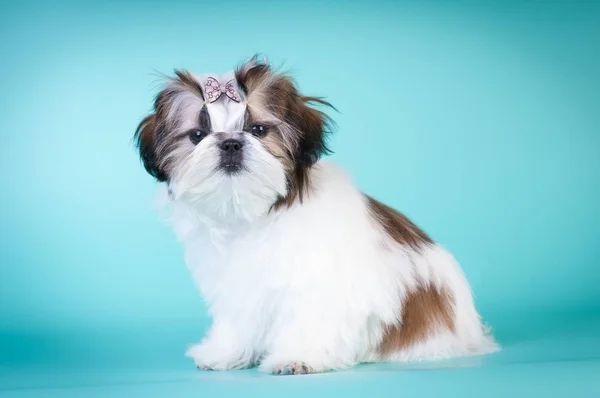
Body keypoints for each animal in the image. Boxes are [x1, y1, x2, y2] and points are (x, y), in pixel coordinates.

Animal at [135, 56, 496, 376]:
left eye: (258, 129)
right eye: (197, 135)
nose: (231, 144)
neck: (255, 214)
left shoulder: (318, 282)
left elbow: (310, 316)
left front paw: (297, 357)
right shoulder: (238, 284)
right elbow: (239, 318)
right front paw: (225, 352)